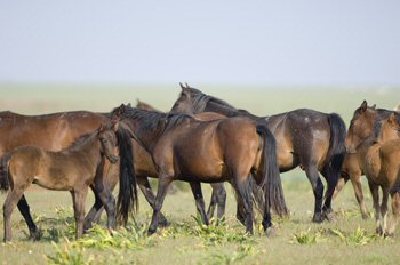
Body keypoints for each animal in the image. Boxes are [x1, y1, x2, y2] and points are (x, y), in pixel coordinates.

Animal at [112, 104, 288, 234]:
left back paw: (249, 232)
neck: (163, 132)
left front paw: (151, 230)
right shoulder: (193, 180)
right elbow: (200, 204)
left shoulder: (165, 176)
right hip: (258, 175)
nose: (112, 156)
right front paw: (206, 228)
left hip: (239, 178)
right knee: (265, 198)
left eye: (112, 124)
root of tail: (255, 128)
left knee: (248, 202)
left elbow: (157, 202)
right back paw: (267, 227)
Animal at [170, 82, 346, 221]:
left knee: (319, 187)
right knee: (331, 185)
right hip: (325, 166)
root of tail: (325, 116)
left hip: (311, 166)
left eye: (177, 102)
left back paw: (317, 217)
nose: (170, 116)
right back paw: (327, 214)